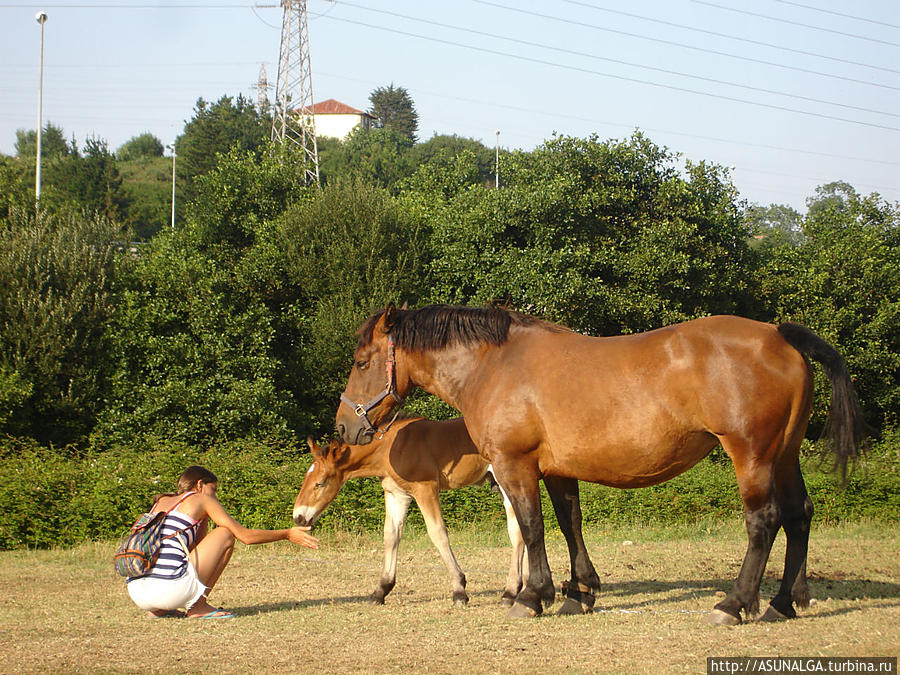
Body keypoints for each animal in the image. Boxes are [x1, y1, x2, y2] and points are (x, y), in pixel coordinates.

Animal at [292, 418, 528, 608]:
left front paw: (459, 591)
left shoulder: (425, 489)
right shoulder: (396, 494)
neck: (391, 448)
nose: (299, 517)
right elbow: (391, 535)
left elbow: (438, 533)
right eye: (306, 478)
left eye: (320, 483)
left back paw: (510, 592)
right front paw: (381, 591)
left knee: (517, 531)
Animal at [336, 304, 864, 624]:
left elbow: (531, 528)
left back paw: (734, 604)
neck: (495, 366)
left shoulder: (514, 466)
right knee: (799, 516)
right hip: (784, 455)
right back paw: (781, 603)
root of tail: (779, 335)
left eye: (361, 362)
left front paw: (532, 596)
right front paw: (579, 592)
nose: (344, 428)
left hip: (752, 456)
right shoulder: (558, 469)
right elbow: (570, 524)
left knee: (764, 521)